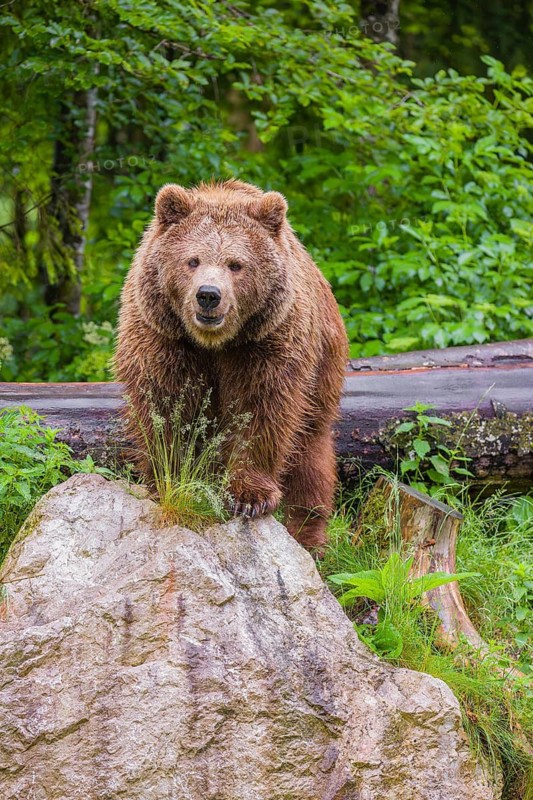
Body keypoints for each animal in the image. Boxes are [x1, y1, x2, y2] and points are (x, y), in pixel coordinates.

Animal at [115, 179, 348, 550]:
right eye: (193, 260)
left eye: (236, 264)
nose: (209, 295)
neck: (214, 343)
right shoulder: (163, 336)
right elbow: (165, 408)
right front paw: (171, 479)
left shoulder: (267, 342)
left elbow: (260, 410)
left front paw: (249, 497)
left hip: (322, 367)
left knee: (310, 454)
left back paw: (307, 535)